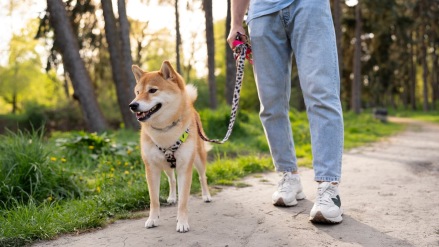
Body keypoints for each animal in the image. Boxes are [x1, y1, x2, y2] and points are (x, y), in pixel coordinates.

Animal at [128, 60, 212, 233]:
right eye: (137, 92)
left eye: (152, 90)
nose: (132, 105)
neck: (164, 131)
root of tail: (192, 106)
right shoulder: (151, 168)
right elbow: (154, 200)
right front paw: (152, 219)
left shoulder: (185, 168)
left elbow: (184, 201)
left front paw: (182, 222)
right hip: (165, 165)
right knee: (171, 180)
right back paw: (172, 197)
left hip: (198, 158)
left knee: (202, 177)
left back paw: (206, 195)